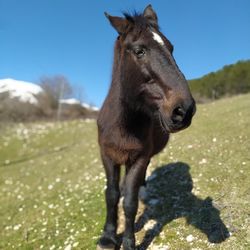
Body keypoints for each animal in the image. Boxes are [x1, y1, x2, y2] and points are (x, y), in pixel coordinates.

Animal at [96, 4, 196, 250]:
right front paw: (108, 236)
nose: (184, 110)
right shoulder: (107, 156)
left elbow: (130, 202)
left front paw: (129, 242)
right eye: (139, 50)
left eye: (171, 48)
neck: (122, 125)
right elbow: (111, 194)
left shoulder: (139, 158)